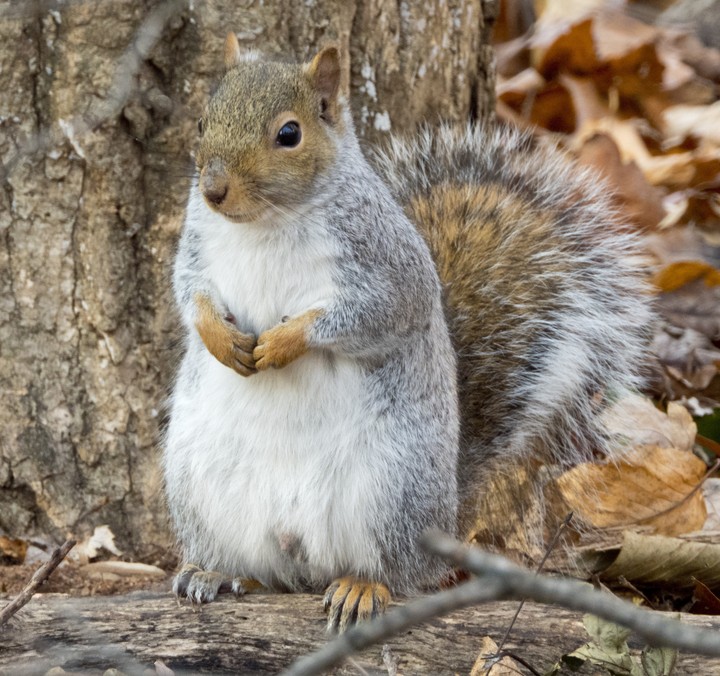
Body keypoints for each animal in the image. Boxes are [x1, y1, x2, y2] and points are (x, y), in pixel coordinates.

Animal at [164, 34, 653, 632]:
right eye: (203, 121)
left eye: (289, 134)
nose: (213, 190)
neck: (266, 222)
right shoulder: (197, 247)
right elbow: (189, 293)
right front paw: (218, 337)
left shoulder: (389, 266)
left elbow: (376, 314)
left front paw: (283, 342)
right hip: (200, 485)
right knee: (259, 569)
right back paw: (214, 571)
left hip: (391, 486)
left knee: (397, 572)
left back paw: (362, 586)